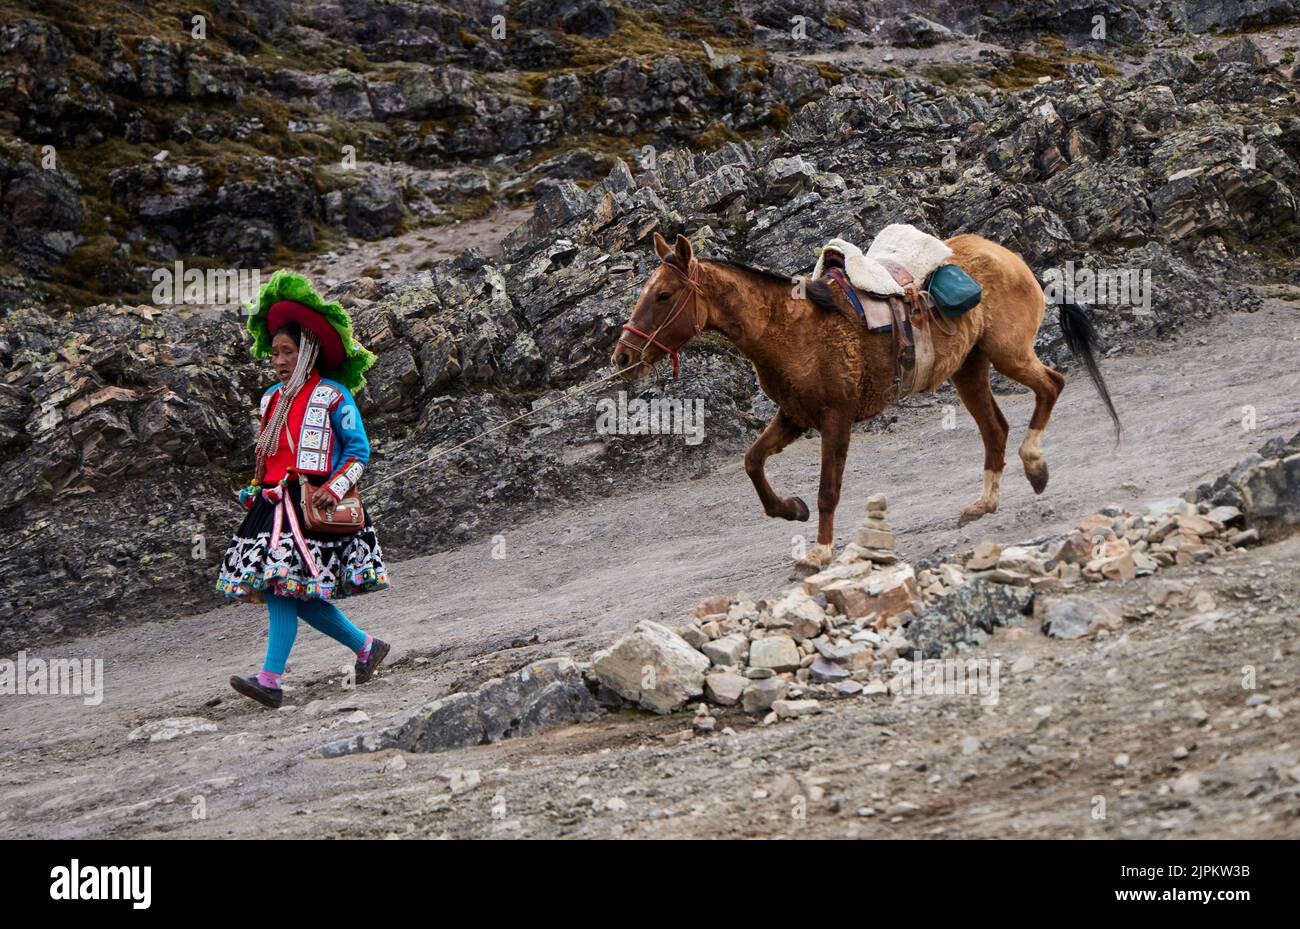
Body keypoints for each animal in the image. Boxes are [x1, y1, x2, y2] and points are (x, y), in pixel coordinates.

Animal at [608, 229, 1118, 571]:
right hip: (969, 369)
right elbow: (753, 462)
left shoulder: (836, 417)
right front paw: (790, 508)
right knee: (996, 428)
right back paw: (983, 504)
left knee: (1051, 384)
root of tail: (1011, 257)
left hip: (1008, 354)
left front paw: (819, 551)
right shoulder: (794, 416)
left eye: (664, 294)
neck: (789, 328)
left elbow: (828, 490)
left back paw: (1035, 466)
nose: (623, 356)